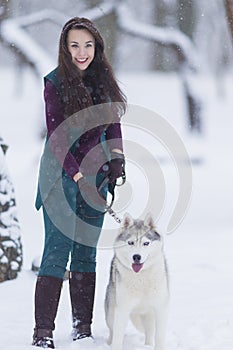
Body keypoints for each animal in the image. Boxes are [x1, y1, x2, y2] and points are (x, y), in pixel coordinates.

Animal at [104, 213, 168, 350]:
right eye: (130, 242)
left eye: (146, 243)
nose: (136, 257)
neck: (141, 277)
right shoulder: (122, 308)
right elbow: (118, 336)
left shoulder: (160, 307)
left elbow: (159, 336)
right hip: (111, 313)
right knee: (112, 330)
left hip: (149, 314)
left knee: (149, 332)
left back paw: (148, 345)